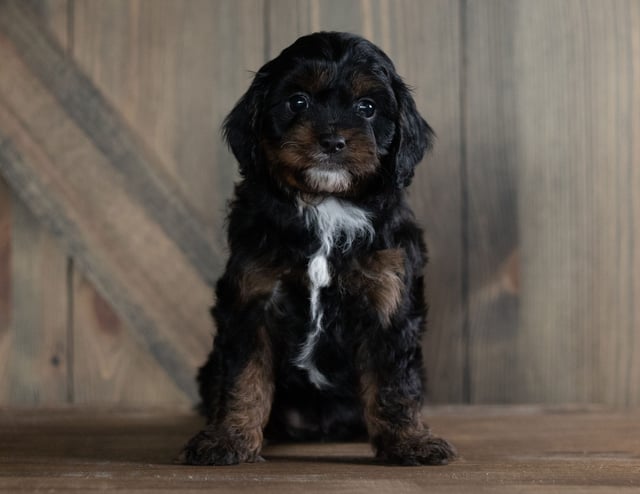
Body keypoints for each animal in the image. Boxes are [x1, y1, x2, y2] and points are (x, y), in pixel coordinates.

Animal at [182, 31, 458, 466]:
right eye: (298, 101)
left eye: (367, 108)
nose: (332, 141)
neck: (327, 203)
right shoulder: (252, 298)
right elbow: (242, 377)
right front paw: (228, 439)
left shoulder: (388, 298)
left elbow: (395, 383)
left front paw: (410, 443)